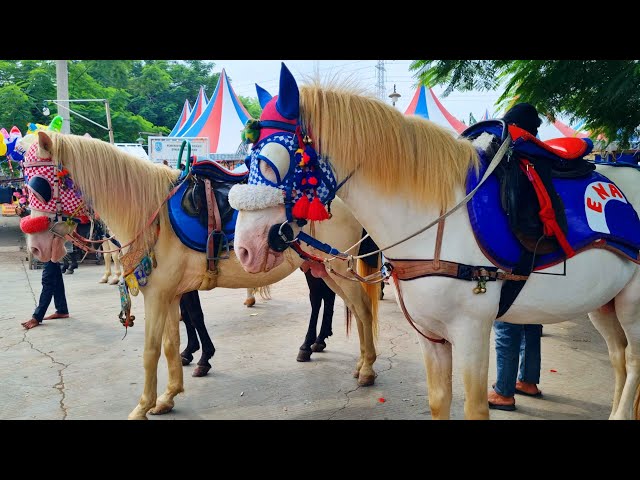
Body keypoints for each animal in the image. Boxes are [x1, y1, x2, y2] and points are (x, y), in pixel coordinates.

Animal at [22, 129, 378, 418]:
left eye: (40, 186)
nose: (36, 248)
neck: (152, 214)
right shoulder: (170, 294)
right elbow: (172, 342)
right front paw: (168, 397)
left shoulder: (158, 295)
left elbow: (152, 350)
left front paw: (143, 406)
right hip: (322, 266)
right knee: (346, 306)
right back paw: (345, 357)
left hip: (335, 265)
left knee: (360, 308)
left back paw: (365, 369)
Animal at [229, 62, 640, 420]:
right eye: (246, 160)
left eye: (272, 161)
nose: (245, 248)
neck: (439, 223)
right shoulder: (430, 335)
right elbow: (439, 401)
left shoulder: (472, 331)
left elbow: (474, 409)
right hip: (603, 301)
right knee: (618, 355)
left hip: (632, 304)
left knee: (633, 359)